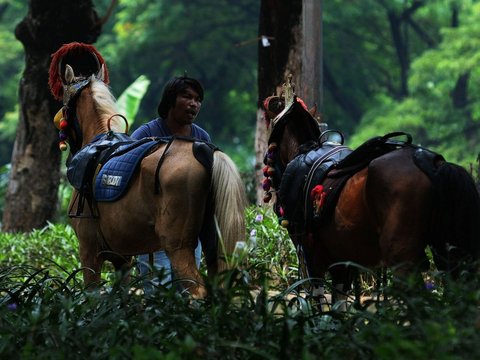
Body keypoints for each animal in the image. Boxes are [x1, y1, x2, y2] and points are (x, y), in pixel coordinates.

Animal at [48, 43, 246, 296]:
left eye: (63, 105)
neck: (100, 141)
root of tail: (204, 150)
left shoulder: (89, 251)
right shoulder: (123, 257)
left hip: (177, 245)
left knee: (197, 291)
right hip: (213, 246)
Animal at [262, 91, 480, 302]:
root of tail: (430, 162)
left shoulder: (310, 253)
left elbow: (318, 301)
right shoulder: (342, 259)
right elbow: (338, 304)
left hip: (402, 255)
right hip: (447, 251)